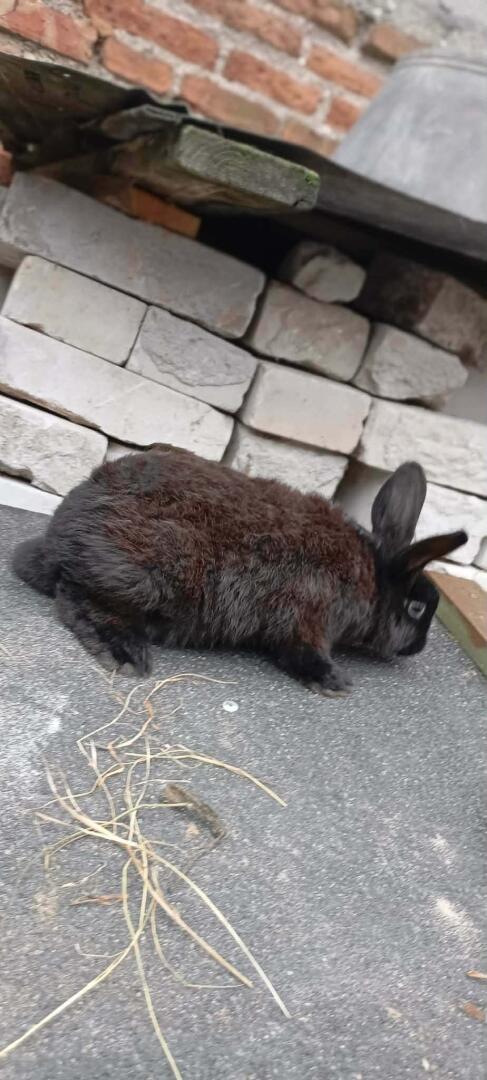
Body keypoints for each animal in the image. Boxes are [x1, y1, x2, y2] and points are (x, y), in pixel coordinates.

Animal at [12, 446, 466, 694]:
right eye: (415, 609)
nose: (418, 646)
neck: (370, 578)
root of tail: (60, 536)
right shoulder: (307, 618)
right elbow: (302, 651)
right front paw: (334, 682)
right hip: (143, 578)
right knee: (80, 599)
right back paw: (124, 655)